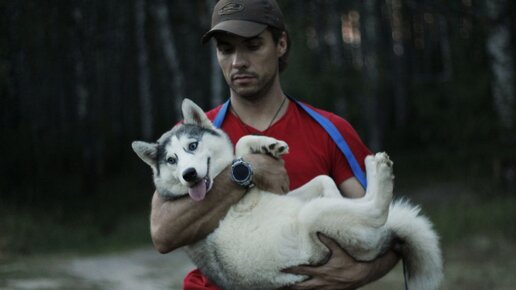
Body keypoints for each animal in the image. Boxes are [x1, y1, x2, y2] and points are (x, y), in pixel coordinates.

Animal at [131, 98, 442, 288]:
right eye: (171, 160)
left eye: (192, 146)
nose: (189, 175)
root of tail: (386, 237)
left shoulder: (285, 193)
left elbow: (242, 147)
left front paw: (266, 145)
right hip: (316, 219)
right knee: (375, 210)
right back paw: (379, 171)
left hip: (314, 208)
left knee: (335, 189)